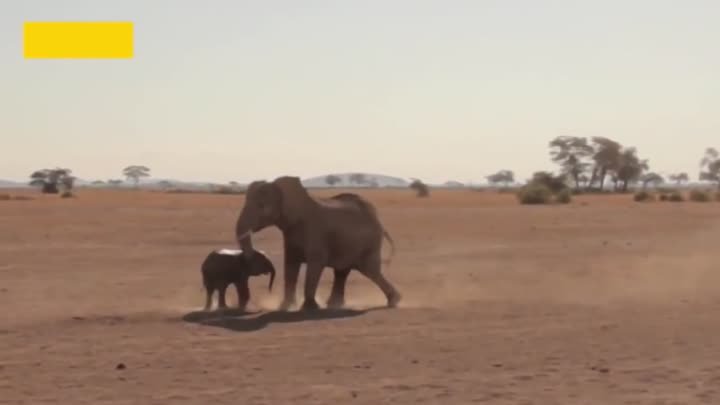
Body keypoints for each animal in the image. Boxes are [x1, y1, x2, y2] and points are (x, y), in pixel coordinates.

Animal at [239, 175, 402, 310]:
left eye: (261, 206)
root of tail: (379, 222)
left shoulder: (316, 232)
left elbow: (315, 264)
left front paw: (309, 308)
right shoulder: (291, 232)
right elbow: (290, 265)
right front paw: (285, 307)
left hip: (368, 243)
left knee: (370, 270)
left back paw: (394, 301)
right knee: (343, 272)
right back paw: (334, 305)